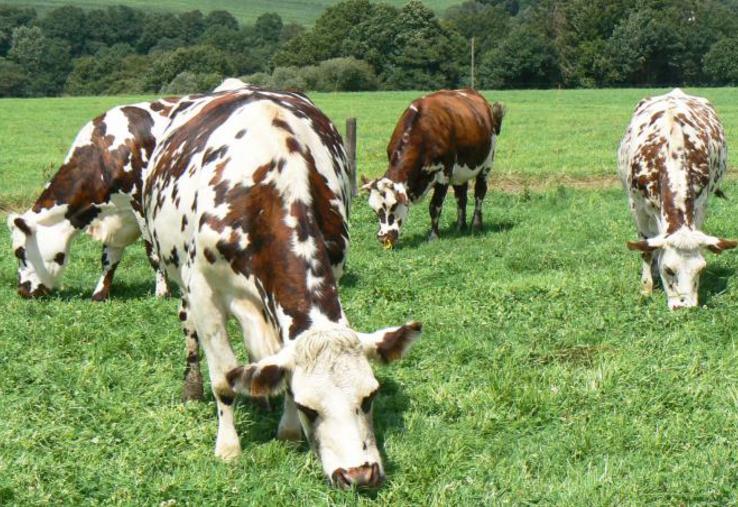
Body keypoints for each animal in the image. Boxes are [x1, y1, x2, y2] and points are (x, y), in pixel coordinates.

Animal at [6, 98, 180, 300]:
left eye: (20, 252)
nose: (22, 290)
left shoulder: (143, 208)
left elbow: (153, 253)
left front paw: (162, 293)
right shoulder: (119, 217)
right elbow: (109, 257)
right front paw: (99, 294)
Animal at [143, 86, 422, 489]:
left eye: (370, 397)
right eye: (310, 407)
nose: (359, 474)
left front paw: (287, 429)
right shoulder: (203, 292)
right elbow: (223, 379)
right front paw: (228, 447)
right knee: (190, 331)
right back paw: (192, 387)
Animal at [361, 89, 505, 248]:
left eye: (393, 206)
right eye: (374, 210)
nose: (383, 237)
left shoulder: (444, 173)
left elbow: (434, 207)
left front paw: (433, 236)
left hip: (487, 164)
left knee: (480, 193)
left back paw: (476, 225)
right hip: (460, 173)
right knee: (461, 197)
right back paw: (460, 226)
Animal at [618, 88, 737, 310]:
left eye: (701, 269)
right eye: (669, 270)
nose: (685, 307)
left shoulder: (700, 205)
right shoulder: (637, 207)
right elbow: (646, 249)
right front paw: (646, 288)